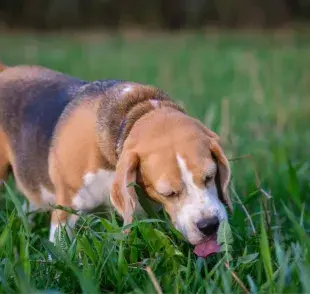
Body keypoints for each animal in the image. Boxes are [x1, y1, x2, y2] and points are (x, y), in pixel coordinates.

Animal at [0, 62, 232, 258]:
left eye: (210, 176)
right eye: (169, 193)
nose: (209, 226)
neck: (134, 112)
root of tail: (6, 70)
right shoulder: (65, 211)